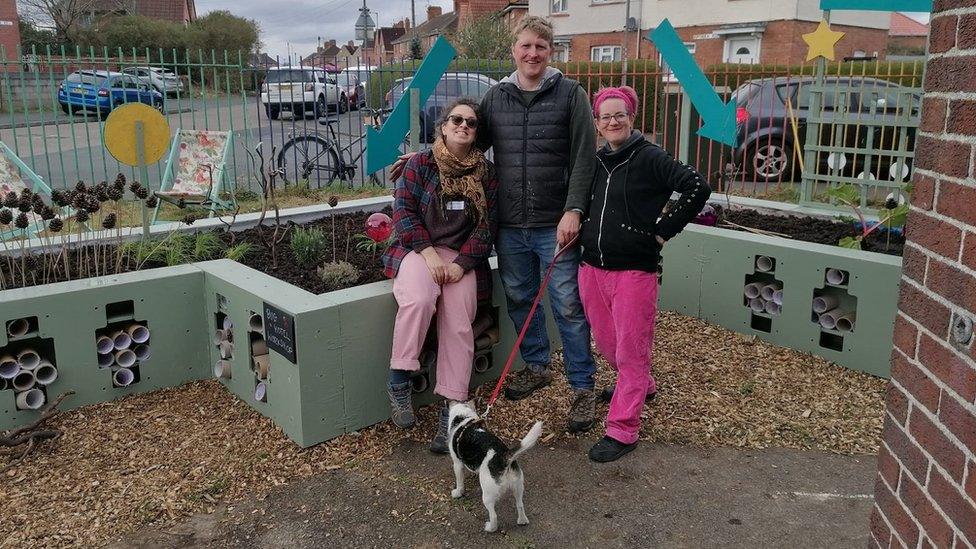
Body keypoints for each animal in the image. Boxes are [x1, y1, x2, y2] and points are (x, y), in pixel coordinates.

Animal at [448, 400, 544, 532]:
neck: (464, 420)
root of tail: (505, 456)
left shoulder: (457, 464)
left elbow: (459, 482)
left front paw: (458, 493)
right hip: (518, 487)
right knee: (520, 505)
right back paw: (522, 521)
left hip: (487, 496)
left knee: (494, 515)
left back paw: (490, 528)